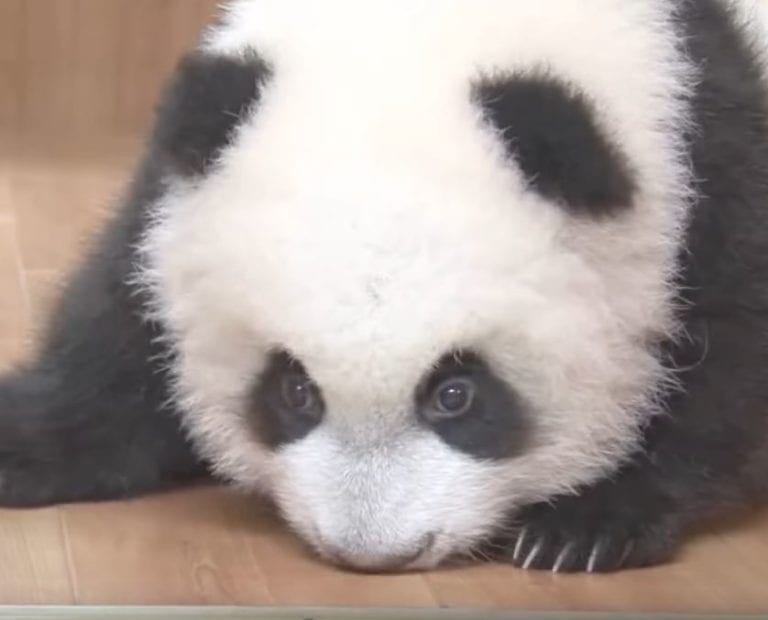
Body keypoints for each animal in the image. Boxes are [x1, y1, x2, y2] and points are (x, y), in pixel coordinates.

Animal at [2, 0, 768, 575]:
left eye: (457, 394)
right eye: (294, 390)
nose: (373, 552)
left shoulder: (703, 156)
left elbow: (730, 365)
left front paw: (585, 524)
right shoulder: (183, 182)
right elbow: (124, 323)